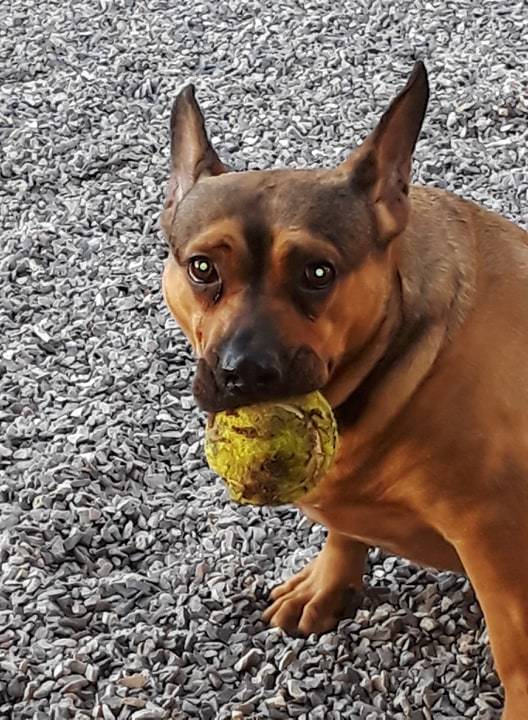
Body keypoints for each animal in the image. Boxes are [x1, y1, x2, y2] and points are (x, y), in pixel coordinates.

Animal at [160, 64, 528, 716]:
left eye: (317, 273)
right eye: (202, 268)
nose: (243, 371)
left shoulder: (495, 539)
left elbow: (516, 651)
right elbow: (343, 531)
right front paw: (330, 584)